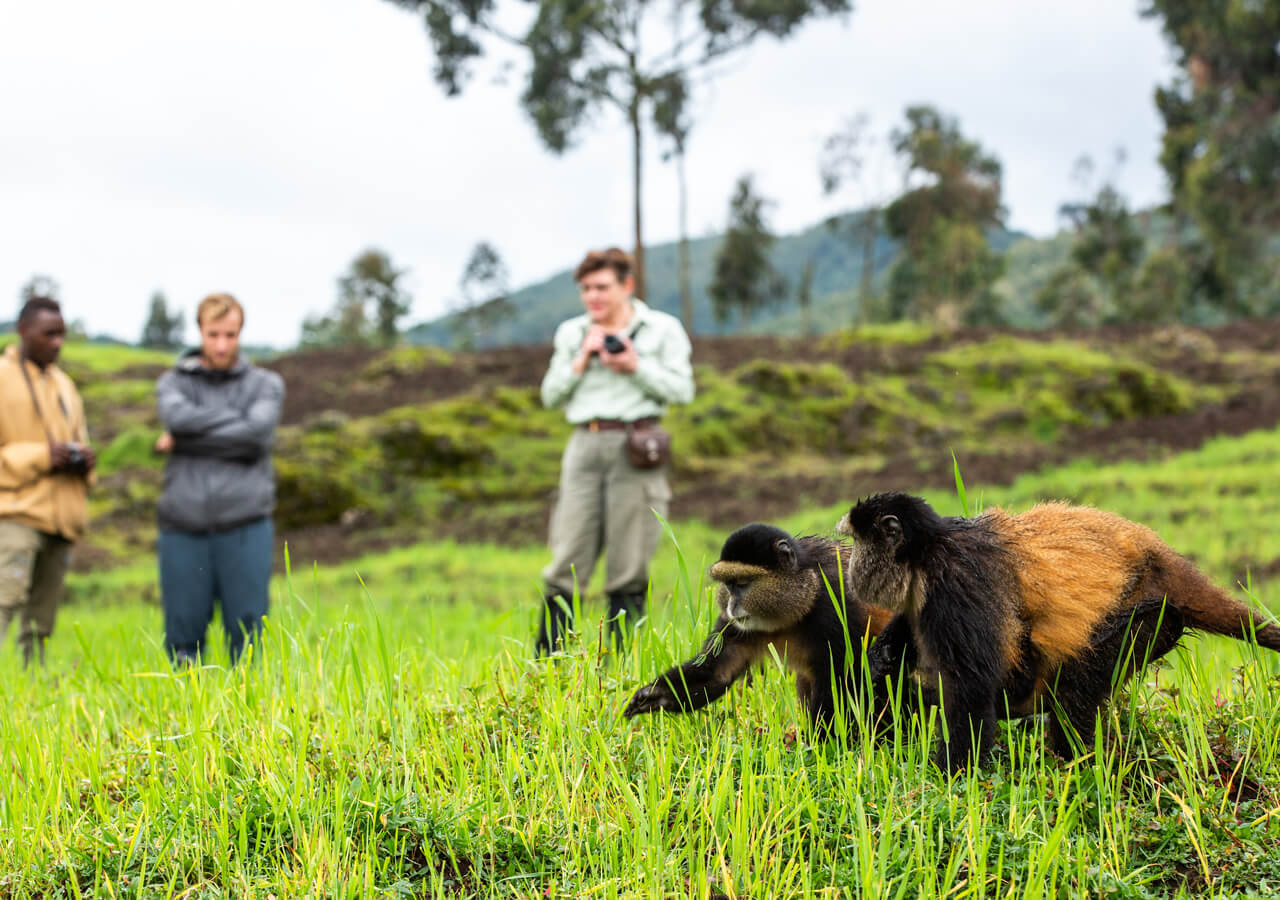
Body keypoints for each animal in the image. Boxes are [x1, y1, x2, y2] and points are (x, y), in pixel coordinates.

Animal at [624, 523, 896, 735]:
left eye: (743, 584)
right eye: (728, 585)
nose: (732, 606)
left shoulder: (836, 603)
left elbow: (842, 676)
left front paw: (819, 742)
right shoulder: (733, 626)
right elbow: (716, 673)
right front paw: (652, 695)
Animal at [837, 492, 1280, 772]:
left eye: (859, 543)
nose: (851, 565)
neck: (928, 548)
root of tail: (1159, 556)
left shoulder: (953, 582)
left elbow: (972, 690)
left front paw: (948, 777)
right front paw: (882, 657)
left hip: (1148, 617)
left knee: (1073, 692)